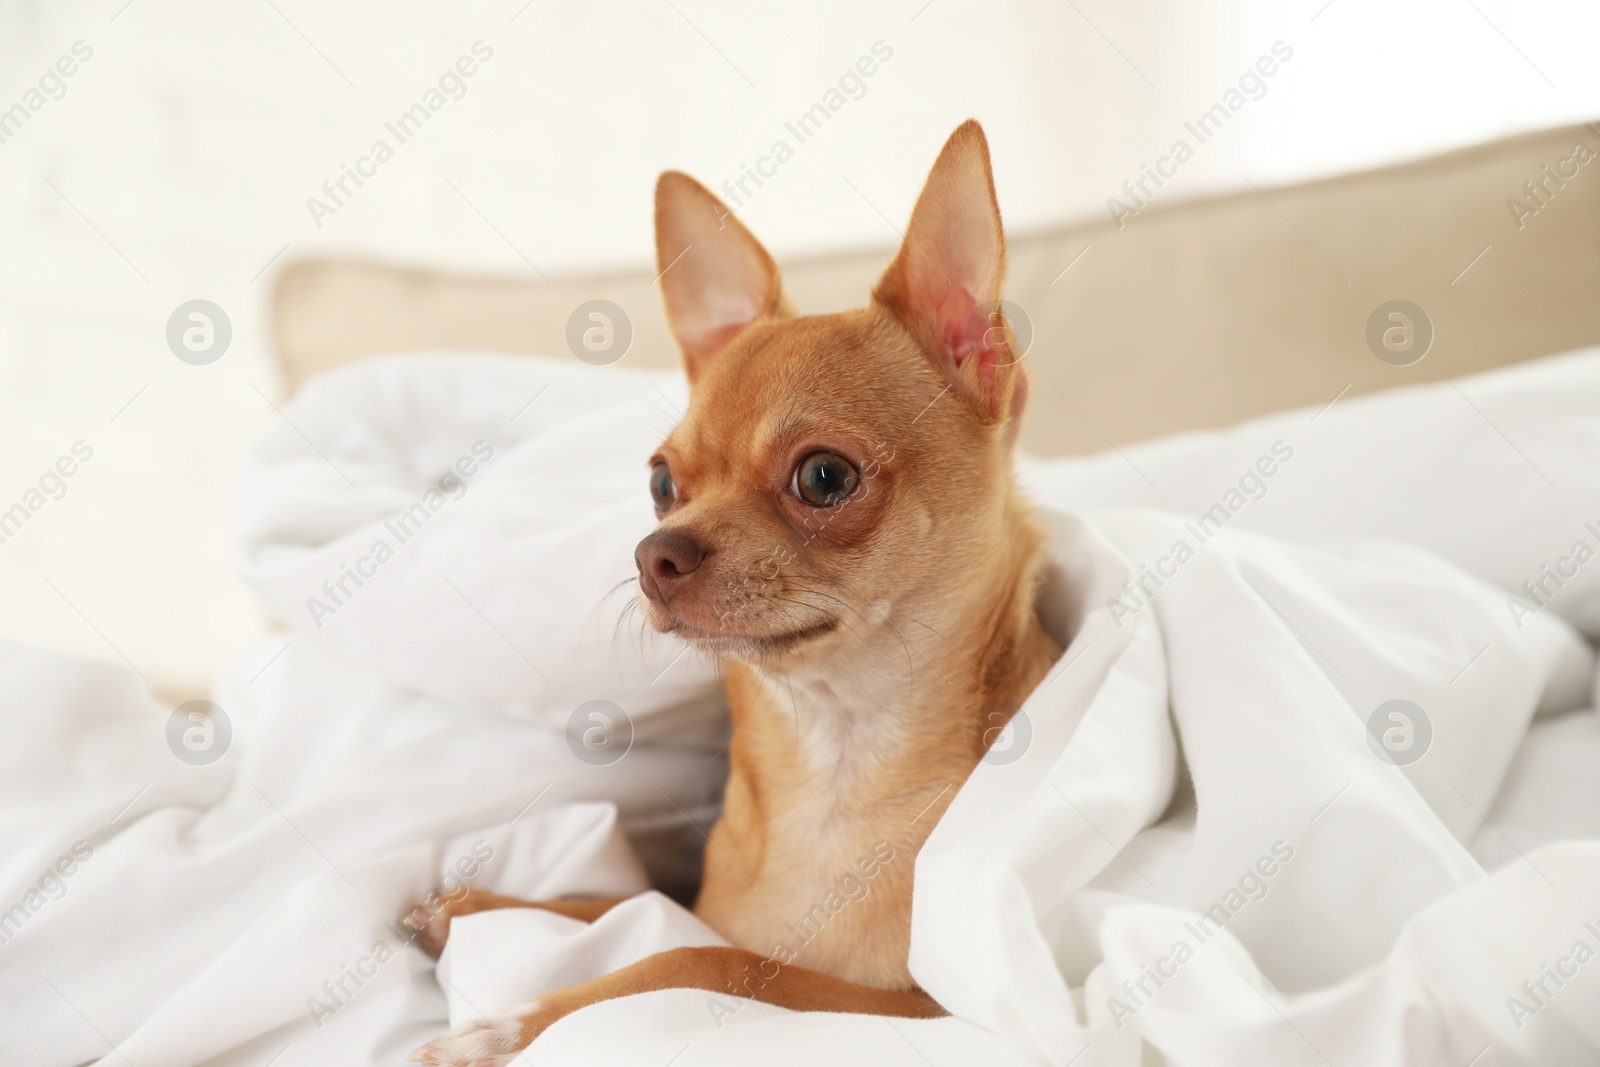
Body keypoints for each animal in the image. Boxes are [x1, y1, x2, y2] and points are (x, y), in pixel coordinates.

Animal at [412, 120, 1062, 1062]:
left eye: (824, 478)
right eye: (660, 484)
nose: (654, 554)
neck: (831, 757)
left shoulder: (932, 1014)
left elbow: (701, 957)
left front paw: (510, 1023)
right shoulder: (703, 903)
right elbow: (629, 903)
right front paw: (476, 907)